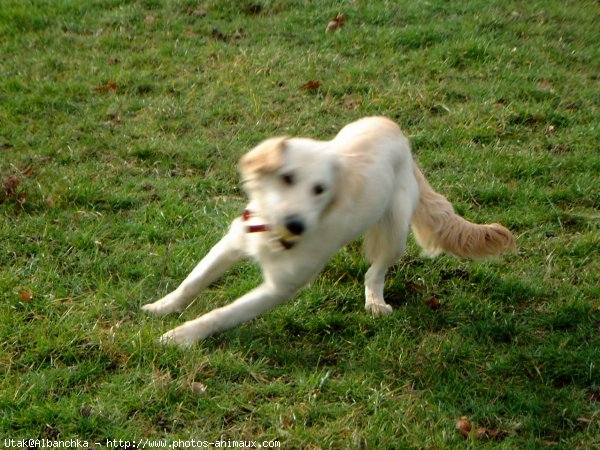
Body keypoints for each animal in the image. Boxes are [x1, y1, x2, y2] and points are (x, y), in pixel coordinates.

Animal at [142, 118, 516, 346]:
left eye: (320, 190)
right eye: (287, 177)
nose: (296, 224)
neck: (275, 235)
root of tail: (396, 131)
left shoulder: (280, 287)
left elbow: (220, 314)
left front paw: (181, 336)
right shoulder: (234, 241)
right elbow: (193, 281)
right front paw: (163, 307)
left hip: (394, 233)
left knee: (375, 272)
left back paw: (375, 302)